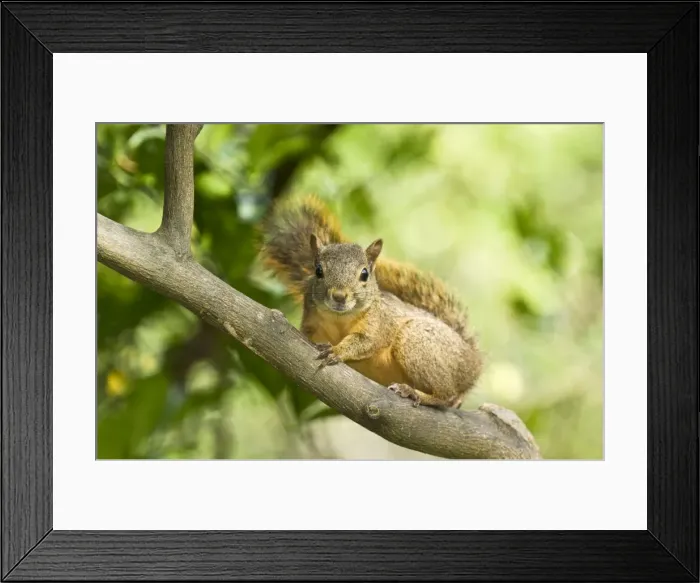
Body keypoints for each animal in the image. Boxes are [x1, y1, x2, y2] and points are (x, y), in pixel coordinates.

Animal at [258, 194, 483, 408]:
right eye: (318, 271)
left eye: (364, 274)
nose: (339, 296)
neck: (339, 318)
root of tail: (473, 363)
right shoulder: (311, 320)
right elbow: (306, 336)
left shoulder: (379, 323)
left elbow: (365, 341)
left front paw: (337, 350)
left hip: (416, 342)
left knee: (447, 395)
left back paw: (415, 393)